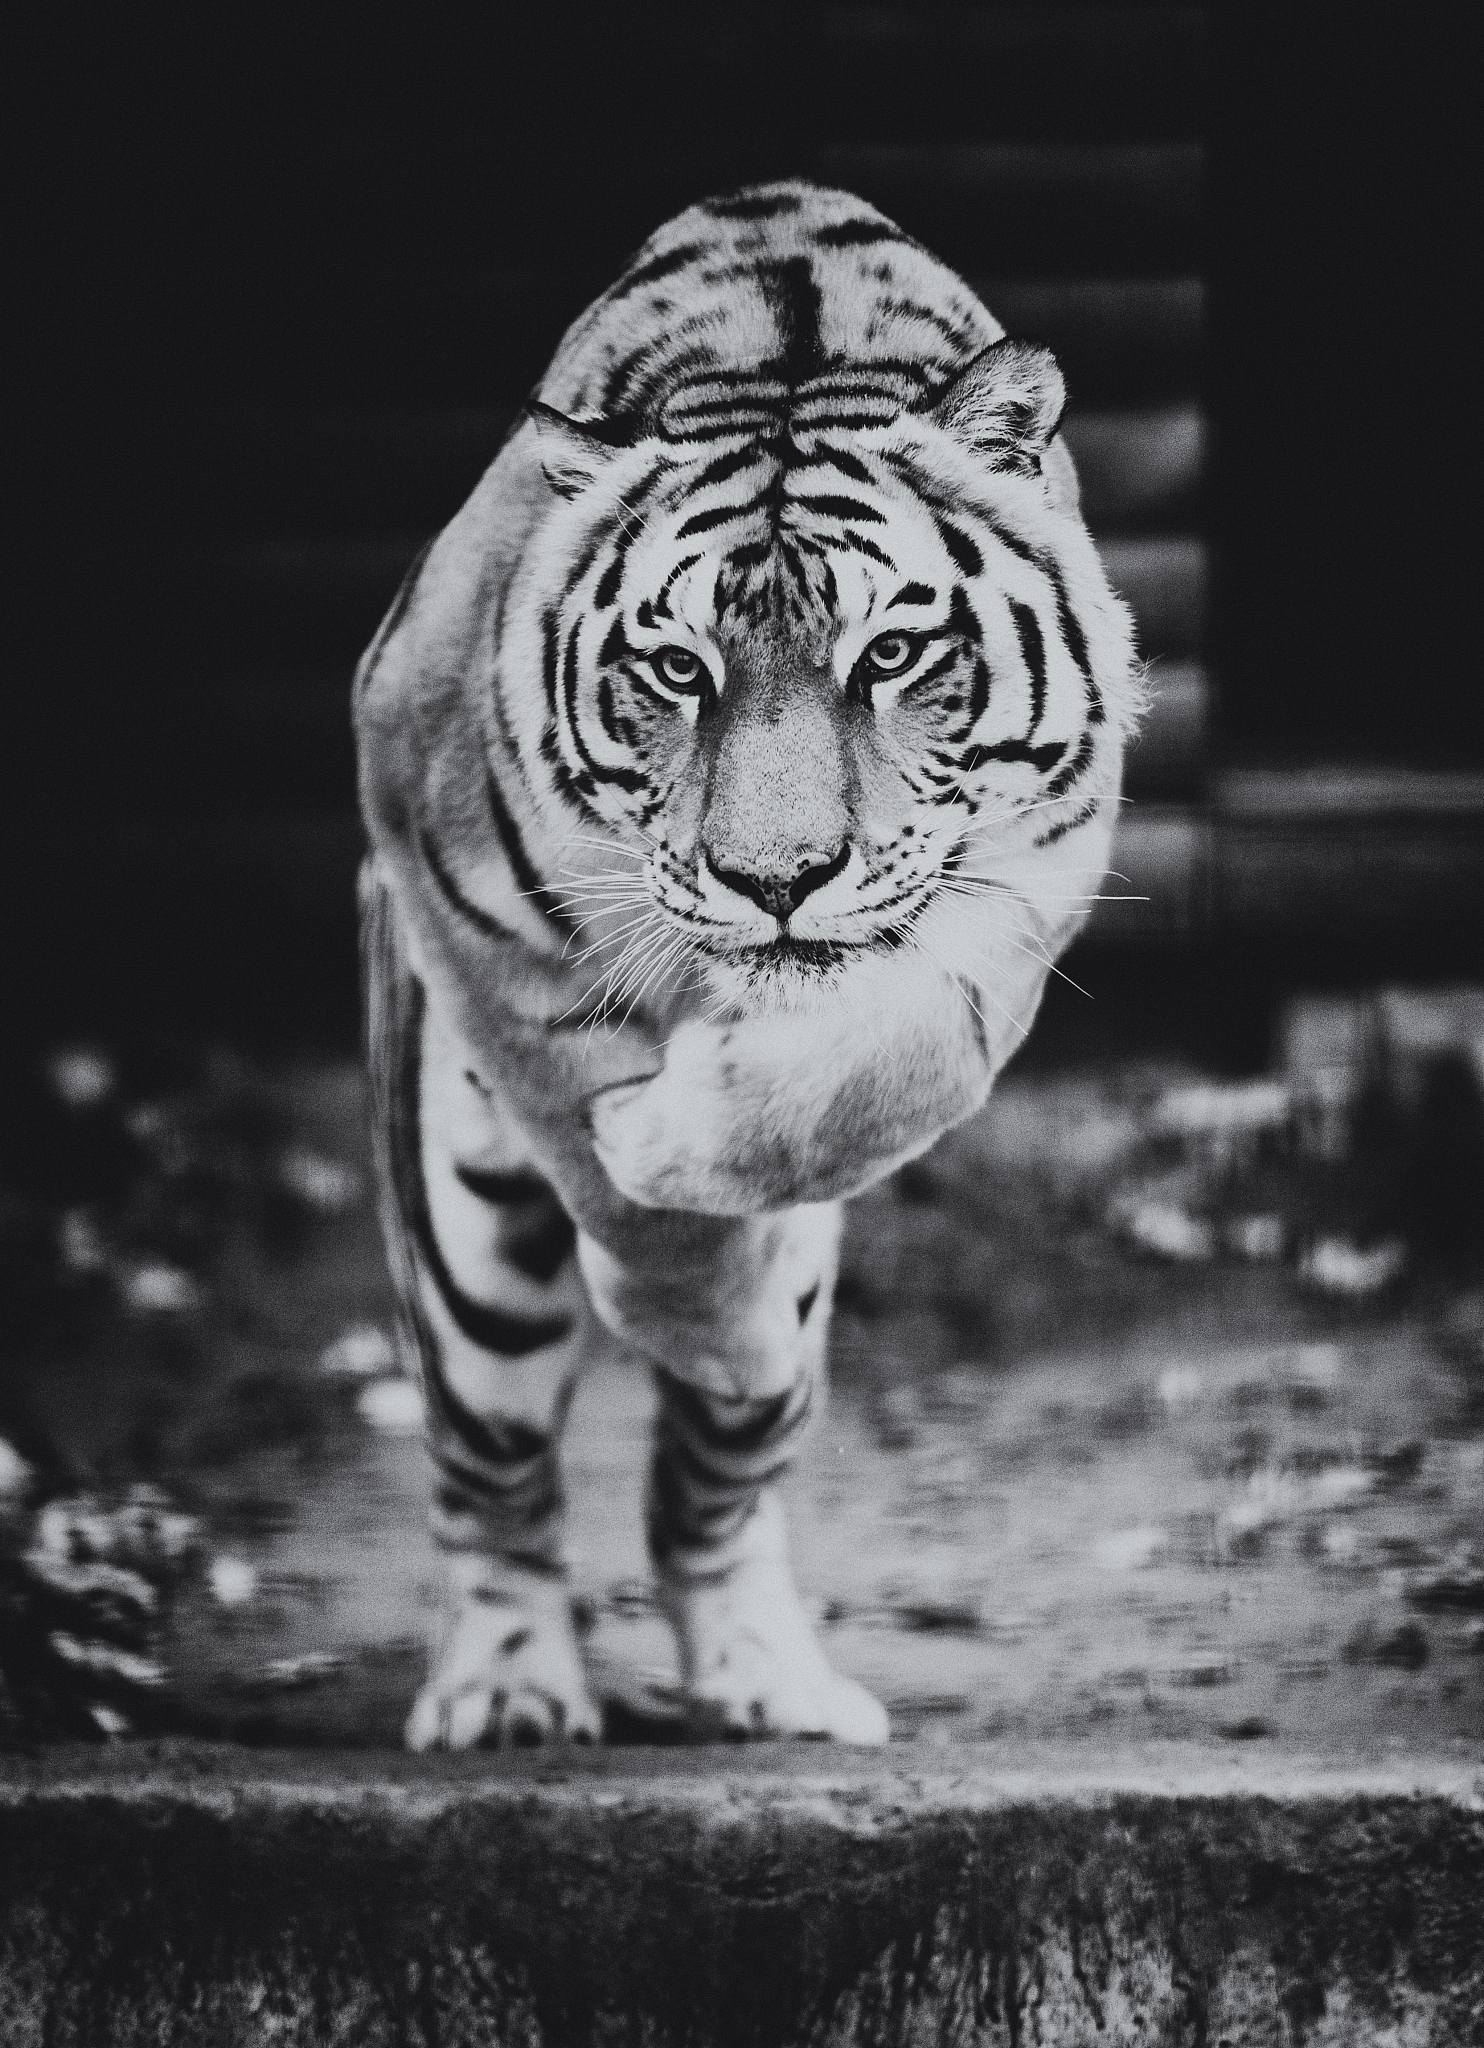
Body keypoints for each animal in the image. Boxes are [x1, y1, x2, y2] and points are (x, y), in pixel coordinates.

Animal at [353, 179, 1142, 1748]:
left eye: (891, 654)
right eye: (676, 670)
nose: (775, 881)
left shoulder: (1038, 861)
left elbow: (886, 1059)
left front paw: (725, 1266)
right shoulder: (444, 846)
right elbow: (612, 1171)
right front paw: (684, 1268)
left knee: (714, 1491)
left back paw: (766, 1671)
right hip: (464, 1226)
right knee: (492, 1466)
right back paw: (509, 1687)